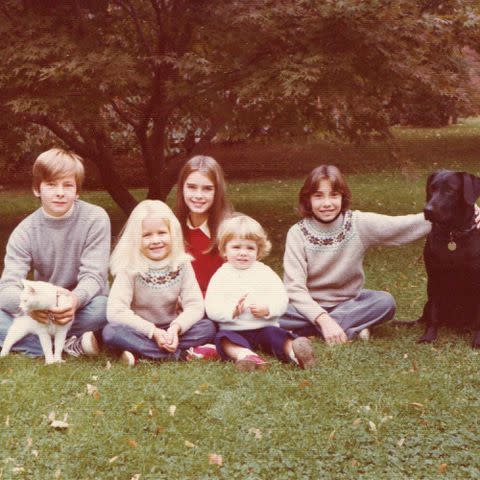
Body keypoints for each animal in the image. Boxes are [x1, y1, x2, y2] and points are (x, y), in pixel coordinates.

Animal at [418, 171, 480, 346]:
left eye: (450, 190)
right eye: (432, 188)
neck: (454, 235)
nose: (428, 210)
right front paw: (429, 336)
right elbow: (434, 314)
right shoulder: (434, 278)